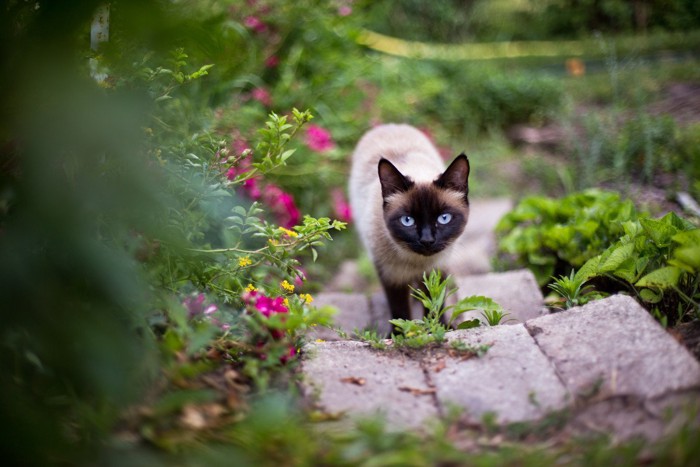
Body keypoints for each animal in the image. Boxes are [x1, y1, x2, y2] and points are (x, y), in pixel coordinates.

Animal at [348, 122, 470, 324]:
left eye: (444, 218)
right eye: (407, 221)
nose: (427, 240)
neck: (417, 264)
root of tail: (389, 125)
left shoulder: (437, 269)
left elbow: (435, 305)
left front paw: (438, 327)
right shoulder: (392, 276)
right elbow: (400, 313)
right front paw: (403, 331)